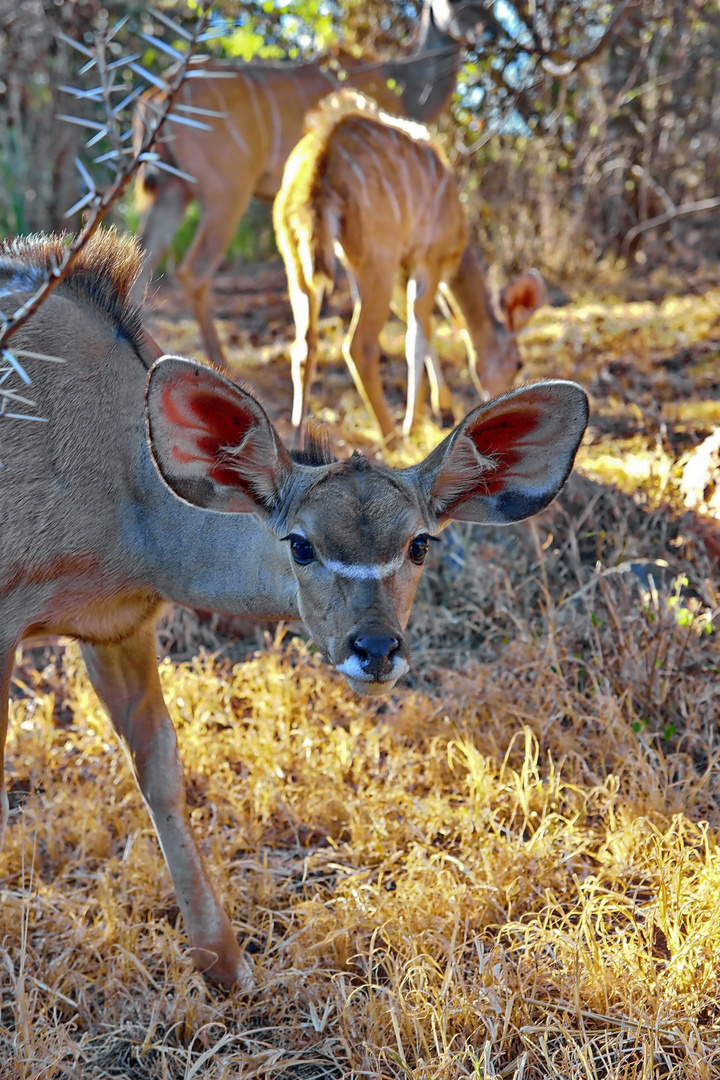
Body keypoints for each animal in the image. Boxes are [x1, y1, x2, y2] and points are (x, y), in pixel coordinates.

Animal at [0, 232, 587, 989]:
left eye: (419, 544)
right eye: (301, 545)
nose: (375, 650)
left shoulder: (118, 627)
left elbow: (160, 769)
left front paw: (223, 966)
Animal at [132, 0, 487, 369]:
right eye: (457, 5)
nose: (487, 31)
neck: (406, 87)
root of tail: (157, 95)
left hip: (174, 190)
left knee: (142, 256)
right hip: (226, 194)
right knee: (192, 272)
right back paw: (221, 362)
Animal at [273, 92, 544, 447]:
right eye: (518, 363)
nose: (507, 402)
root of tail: (318, 166)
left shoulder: (405, 271)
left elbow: (425, 328)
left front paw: (442, 410)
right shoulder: (426, 260)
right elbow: (417, 334)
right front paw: (415, 423)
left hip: (297, 260)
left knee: (304, 346)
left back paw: (295, 438)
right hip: (377, 261)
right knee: (359, 345)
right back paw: (390, 436)